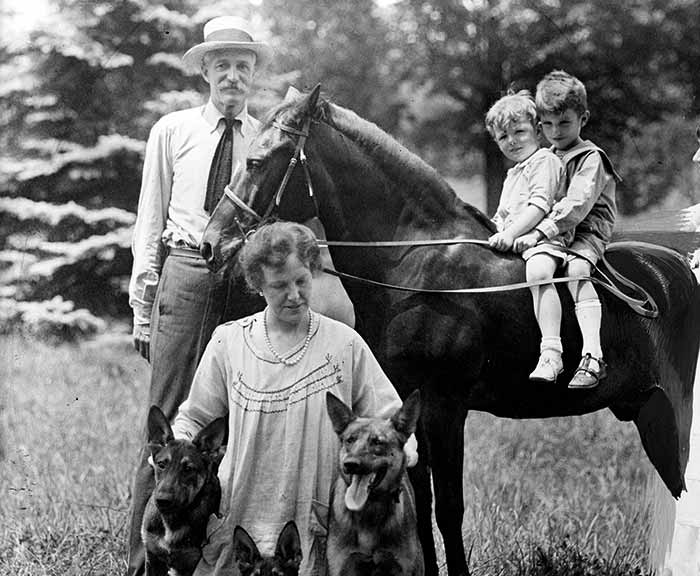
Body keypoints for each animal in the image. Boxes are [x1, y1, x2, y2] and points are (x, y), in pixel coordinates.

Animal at [142, 404, 227, 576]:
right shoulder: (152, 558)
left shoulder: (192, 563)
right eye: (161, 464)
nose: (162, 500)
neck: (171, 520)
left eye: (188, 469)